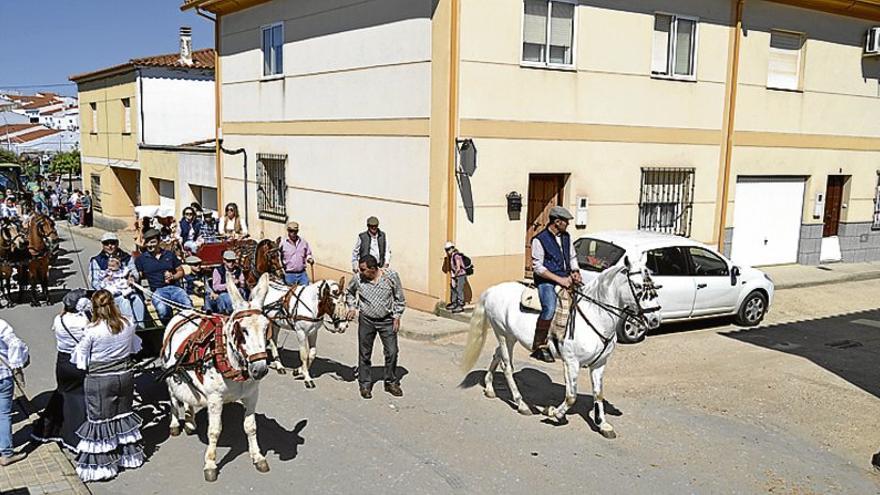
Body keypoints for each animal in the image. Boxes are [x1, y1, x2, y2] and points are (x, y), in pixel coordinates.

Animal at [162, 274, 272, 482]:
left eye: (266, 328)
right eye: (243, 330)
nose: (260, 370)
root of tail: (183, 311)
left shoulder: (252, 395)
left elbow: (251, 426)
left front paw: (258, 456)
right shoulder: (215, 399)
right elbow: (214, 431)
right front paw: (211, 464)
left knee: (187, 397)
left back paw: (189, 420)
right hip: (170, 375)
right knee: (172, 398)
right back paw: (174, 424)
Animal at [460, 258, 660, 440]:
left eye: (654, 285)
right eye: (638, 286)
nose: (655, 319)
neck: (595, 315)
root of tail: (493, 290)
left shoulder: (599, 364)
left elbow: (598, 394)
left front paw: (603, 424)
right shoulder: (571, 362)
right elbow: (571, 396)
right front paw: (553, 412)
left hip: (510, 337)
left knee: (497, 355)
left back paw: (489, 388)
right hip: (503, 335)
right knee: (507, 366)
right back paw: (521, 404)